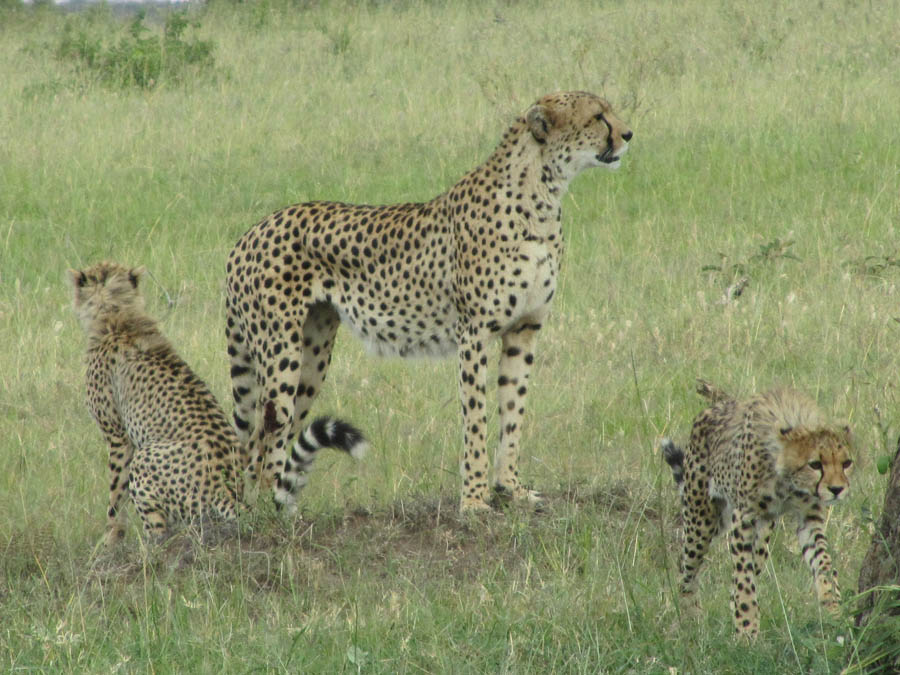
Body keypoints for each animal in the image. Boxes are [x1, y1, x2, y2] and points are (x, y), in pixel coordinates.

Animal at [68, 262, 366, 548]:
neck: (118, 313)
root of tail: (229, 493)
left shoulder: (117, 436)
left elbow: (116, 494)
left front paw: (109, 540)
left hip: (147, 457)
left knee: (160, 527)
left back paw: (154, 547)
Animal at [225, 90, 632, 512]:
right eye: (598, 116)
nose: (628, 134)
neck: (541, 195)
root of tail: (250, 232)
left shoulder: (524, 329)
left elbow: (512, 411)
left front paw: (511, 489)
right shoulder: (474, 333)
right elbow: (476, 417)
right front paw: (474, 499)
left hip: (312, 352)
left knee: (262, 438)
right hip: (280, 354)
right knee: (264, 435)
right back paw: (271, 508)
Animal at [660, 380, 852, 640]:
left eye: (846, 463)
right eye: (815, 464)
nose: (837, 489)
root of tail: (719, 403)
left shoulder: (809, 517)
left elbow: (823, 561)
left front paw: (832, 605)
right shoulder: (743, 518)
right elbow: (743, 578)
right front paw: (747, 630)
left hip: (761, 535)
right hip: (702, 519)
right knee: (687, 566)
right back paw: (690, 617)